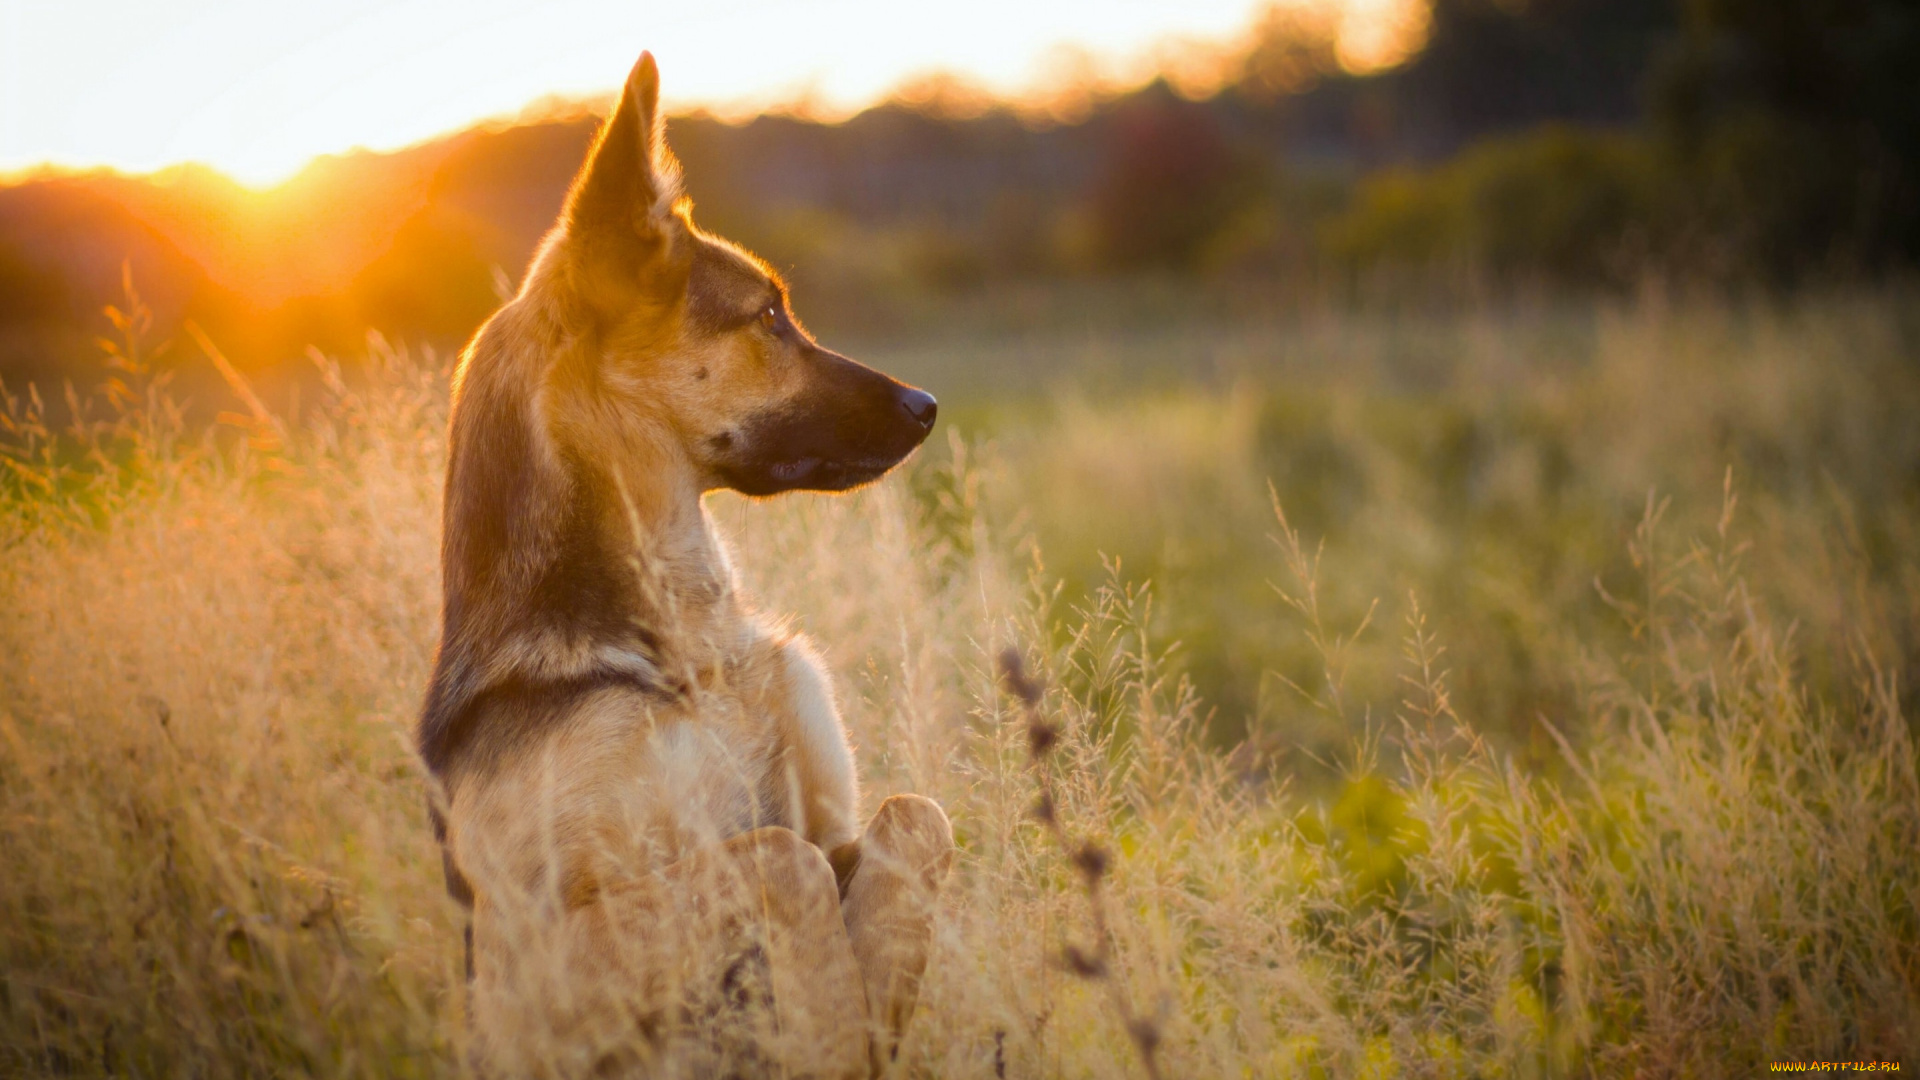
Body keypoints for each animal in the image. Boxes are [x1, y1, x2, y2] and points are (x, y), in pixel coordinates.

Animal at [422, 52, 960, 1076]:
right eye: (770, 318)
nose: (927, 406)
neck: (683, 652)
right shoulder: (524, 972)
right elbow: (780, 862)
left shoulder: (842, 828)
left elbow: (913, 818)